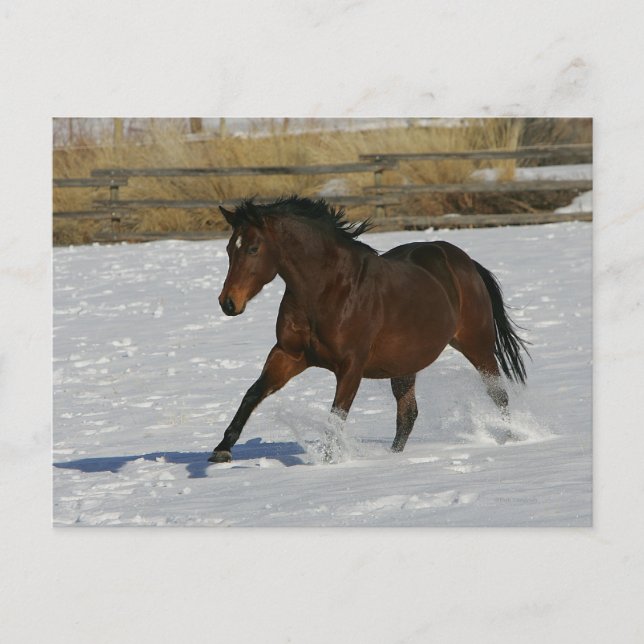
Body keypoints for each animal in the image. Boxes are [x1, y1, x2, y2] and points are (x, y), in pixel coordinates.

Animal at [208, 196, 529, 463]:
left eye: (253, 248)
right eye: (229, 248)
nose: (228, 303)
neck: (327, 290)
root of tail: (465, 262)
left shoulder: (351, 366)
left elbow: (337, 416)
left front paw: (330, 461)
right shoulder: (289, 355)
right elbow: (252, 393)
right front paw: (222, 450)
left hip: (477, 345)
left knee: (498, 394)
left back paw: (511, 438)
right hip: (405, 364)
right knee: (408, 414)